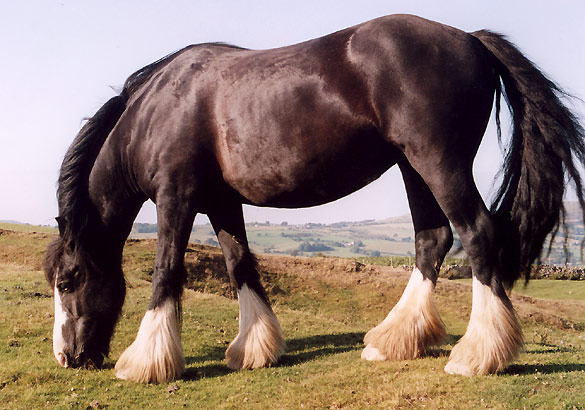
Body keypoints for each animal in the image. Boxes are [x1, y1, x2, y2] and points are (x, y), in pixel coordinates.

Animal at [44, 13, 584, 384]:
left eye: (69, 280)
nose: (66, 358)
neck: (156, 110)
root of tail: (470, 38)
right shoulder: (220, 202)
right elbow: (240, 263)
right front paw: (253, 349)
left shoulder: (175, 197)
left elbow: (166, 271)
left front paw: (145, 363)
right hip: (413, 167)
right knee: (432, 239)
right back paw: (393, 340)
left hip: (439, 163)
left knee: (477, 233)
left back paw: (477, 355)